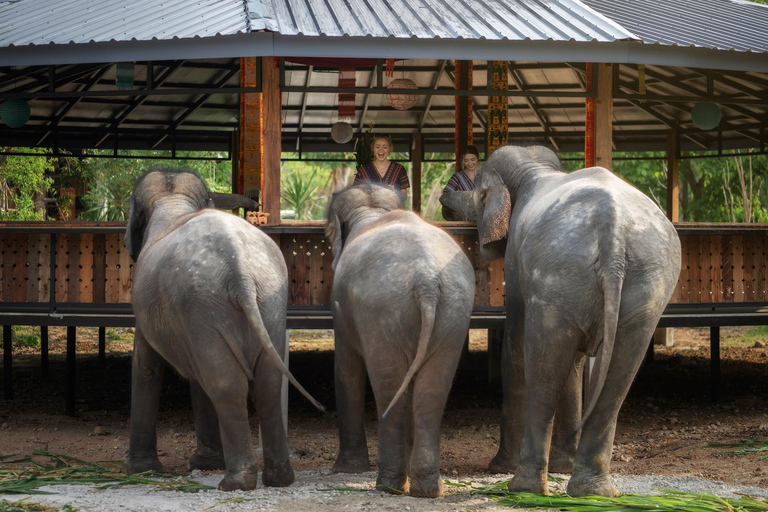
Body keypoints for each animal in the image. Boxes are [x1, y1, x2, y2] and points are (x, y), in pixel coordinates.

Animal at [124, 171, 322, 492]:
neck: (173, 202)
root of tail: (239, 269)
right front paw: (204, 464)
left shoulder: (146, 309)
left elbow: (146, 367)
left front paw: (141, 470)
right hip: (269, 301)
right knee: (267, 383)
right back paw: (278, 479)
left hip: (203, 303)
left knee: (225, 384)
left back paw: (235, 483)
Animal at [324, 185, 474, 500]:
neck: (373, 212)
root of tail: (426, 280)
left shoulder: (340, 307)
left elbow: (346, 369)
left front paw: (344, 470)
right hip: (454, 312)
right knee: (432, 391)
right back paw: (427, 489)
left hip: (383, 312)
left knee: (388, 384)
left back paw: (389, 486)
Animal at [440, 146, 680, 498]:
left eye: (478, 193)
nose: (445, 195)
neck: (535, 169)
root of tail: (614, 234)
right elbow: (576, 362)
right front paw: (562, 467)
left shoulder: (516, 261)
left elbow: (516, 347)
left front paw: (502, 468)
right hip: (645, 287)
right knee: (617, 376)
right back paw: (593, 491)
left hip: (558, 276)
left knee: (542, 367)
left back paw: (522, 486)